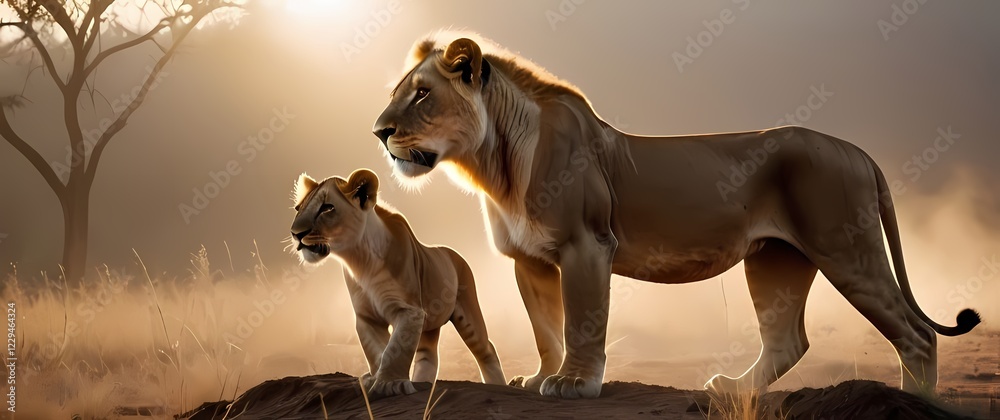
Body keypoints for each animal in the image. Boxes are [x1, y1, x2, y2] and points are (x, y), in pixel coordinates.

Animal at [289, 168, 506, 396]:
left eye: (327, 208)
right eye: (298, 208)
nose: (296, 233)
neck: (359, 260)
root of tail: (453, 253)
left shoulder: (409, 311)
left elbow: (395, 349)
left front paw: (390, 384)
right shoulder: (367, 318)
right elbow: (376, 351)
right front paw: (375, 379)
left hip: (467, 309)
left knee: (486, 348)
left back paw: (498, 386)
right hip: (428, 324)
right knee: (428, 355)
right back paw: (423, 383)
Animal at [370, 33, 982, 399]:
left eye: (421, 95)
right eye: (399, 91)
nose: (378, 131)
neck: (494, 166)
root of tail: (856, 150)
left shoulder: (587, 245)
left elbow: (583, 321)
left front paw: (575, 384)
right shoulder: (531, 261)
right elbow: (545, 329)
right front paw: (541, 376)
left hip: (846, 246)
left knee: (917, 337)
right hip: (775, 260)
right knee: (788, 341)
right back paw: (733, 390)